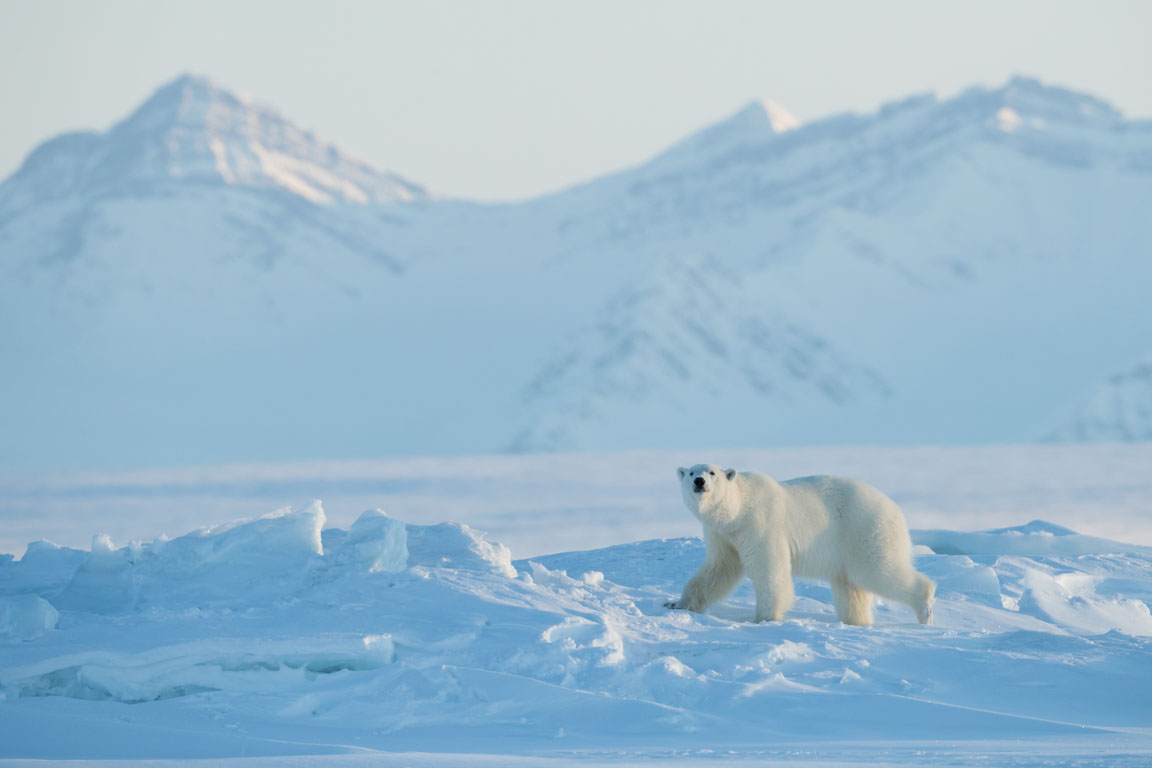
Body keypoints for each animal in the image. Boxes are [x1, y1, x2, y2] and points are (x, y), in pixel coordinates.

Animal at [668, 465, 935, 626]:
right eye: (690, 472)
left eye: (712, 472)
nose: (699, 481)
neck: (737, 510)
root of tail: (895, 509)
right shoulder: (724, 535)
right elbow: (718, 570)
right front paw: (677, 604)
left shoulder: (760, 524)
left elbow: (769, 569)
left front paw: (764, 618)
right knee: (851, 586)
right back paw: (855, 621)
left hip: (864, 529)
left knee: (876, 571)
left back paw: (925, 607)